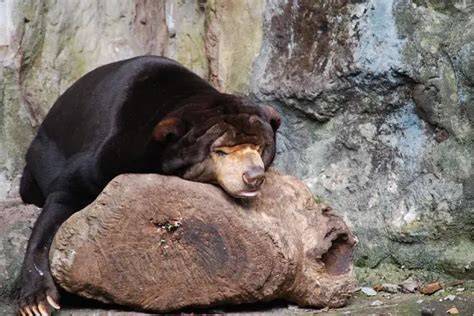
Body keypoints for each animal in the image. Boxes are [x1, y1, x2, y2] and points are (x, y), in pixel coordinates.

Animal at [16, 55, 280, 314]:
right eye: (221, 151)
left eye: (259, 146)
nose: (253, 176)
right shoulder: (111, 149)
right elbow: (65, 193)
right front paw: (37, 301)